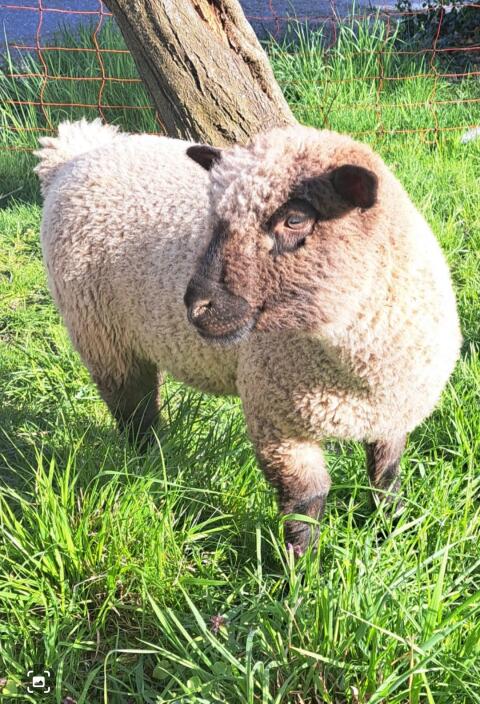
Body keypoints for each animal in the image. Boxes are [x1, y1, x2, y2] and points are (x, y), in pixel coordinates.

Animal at [35, 119, 461, 555]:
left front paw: (392, 532)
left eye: (295, 220)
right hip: (101, 335)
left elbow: (385, 477)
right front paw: (300, 567)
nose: (195, 306)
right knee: (134, 411)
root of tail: (75, 153)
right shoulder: (277, 421)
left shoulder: (392, 412)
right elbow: (306, 502)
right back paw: (150, 466)